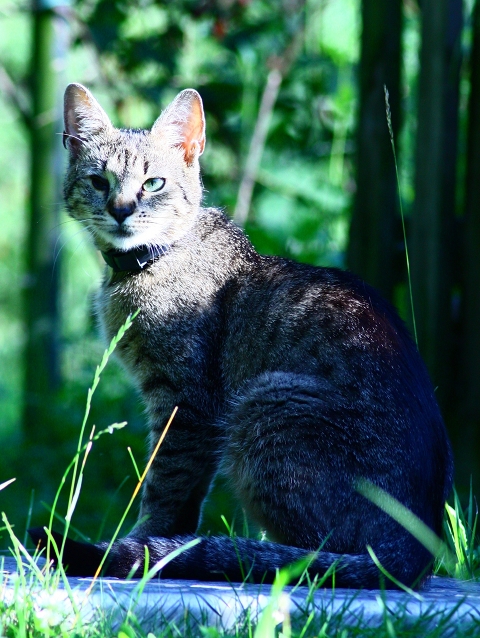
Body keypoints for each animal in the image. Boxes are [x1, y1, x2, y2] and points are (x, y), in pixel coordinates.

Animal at [29, 84, 454, 592]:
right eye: (98, 181)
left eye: (153, 184)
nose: (121, 210)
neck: (154, 260)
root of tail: (416, 553)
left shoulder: (186, 403)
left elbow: (165, 484)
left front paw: (141, 546)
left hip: (263, 405)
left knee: (312, 560)